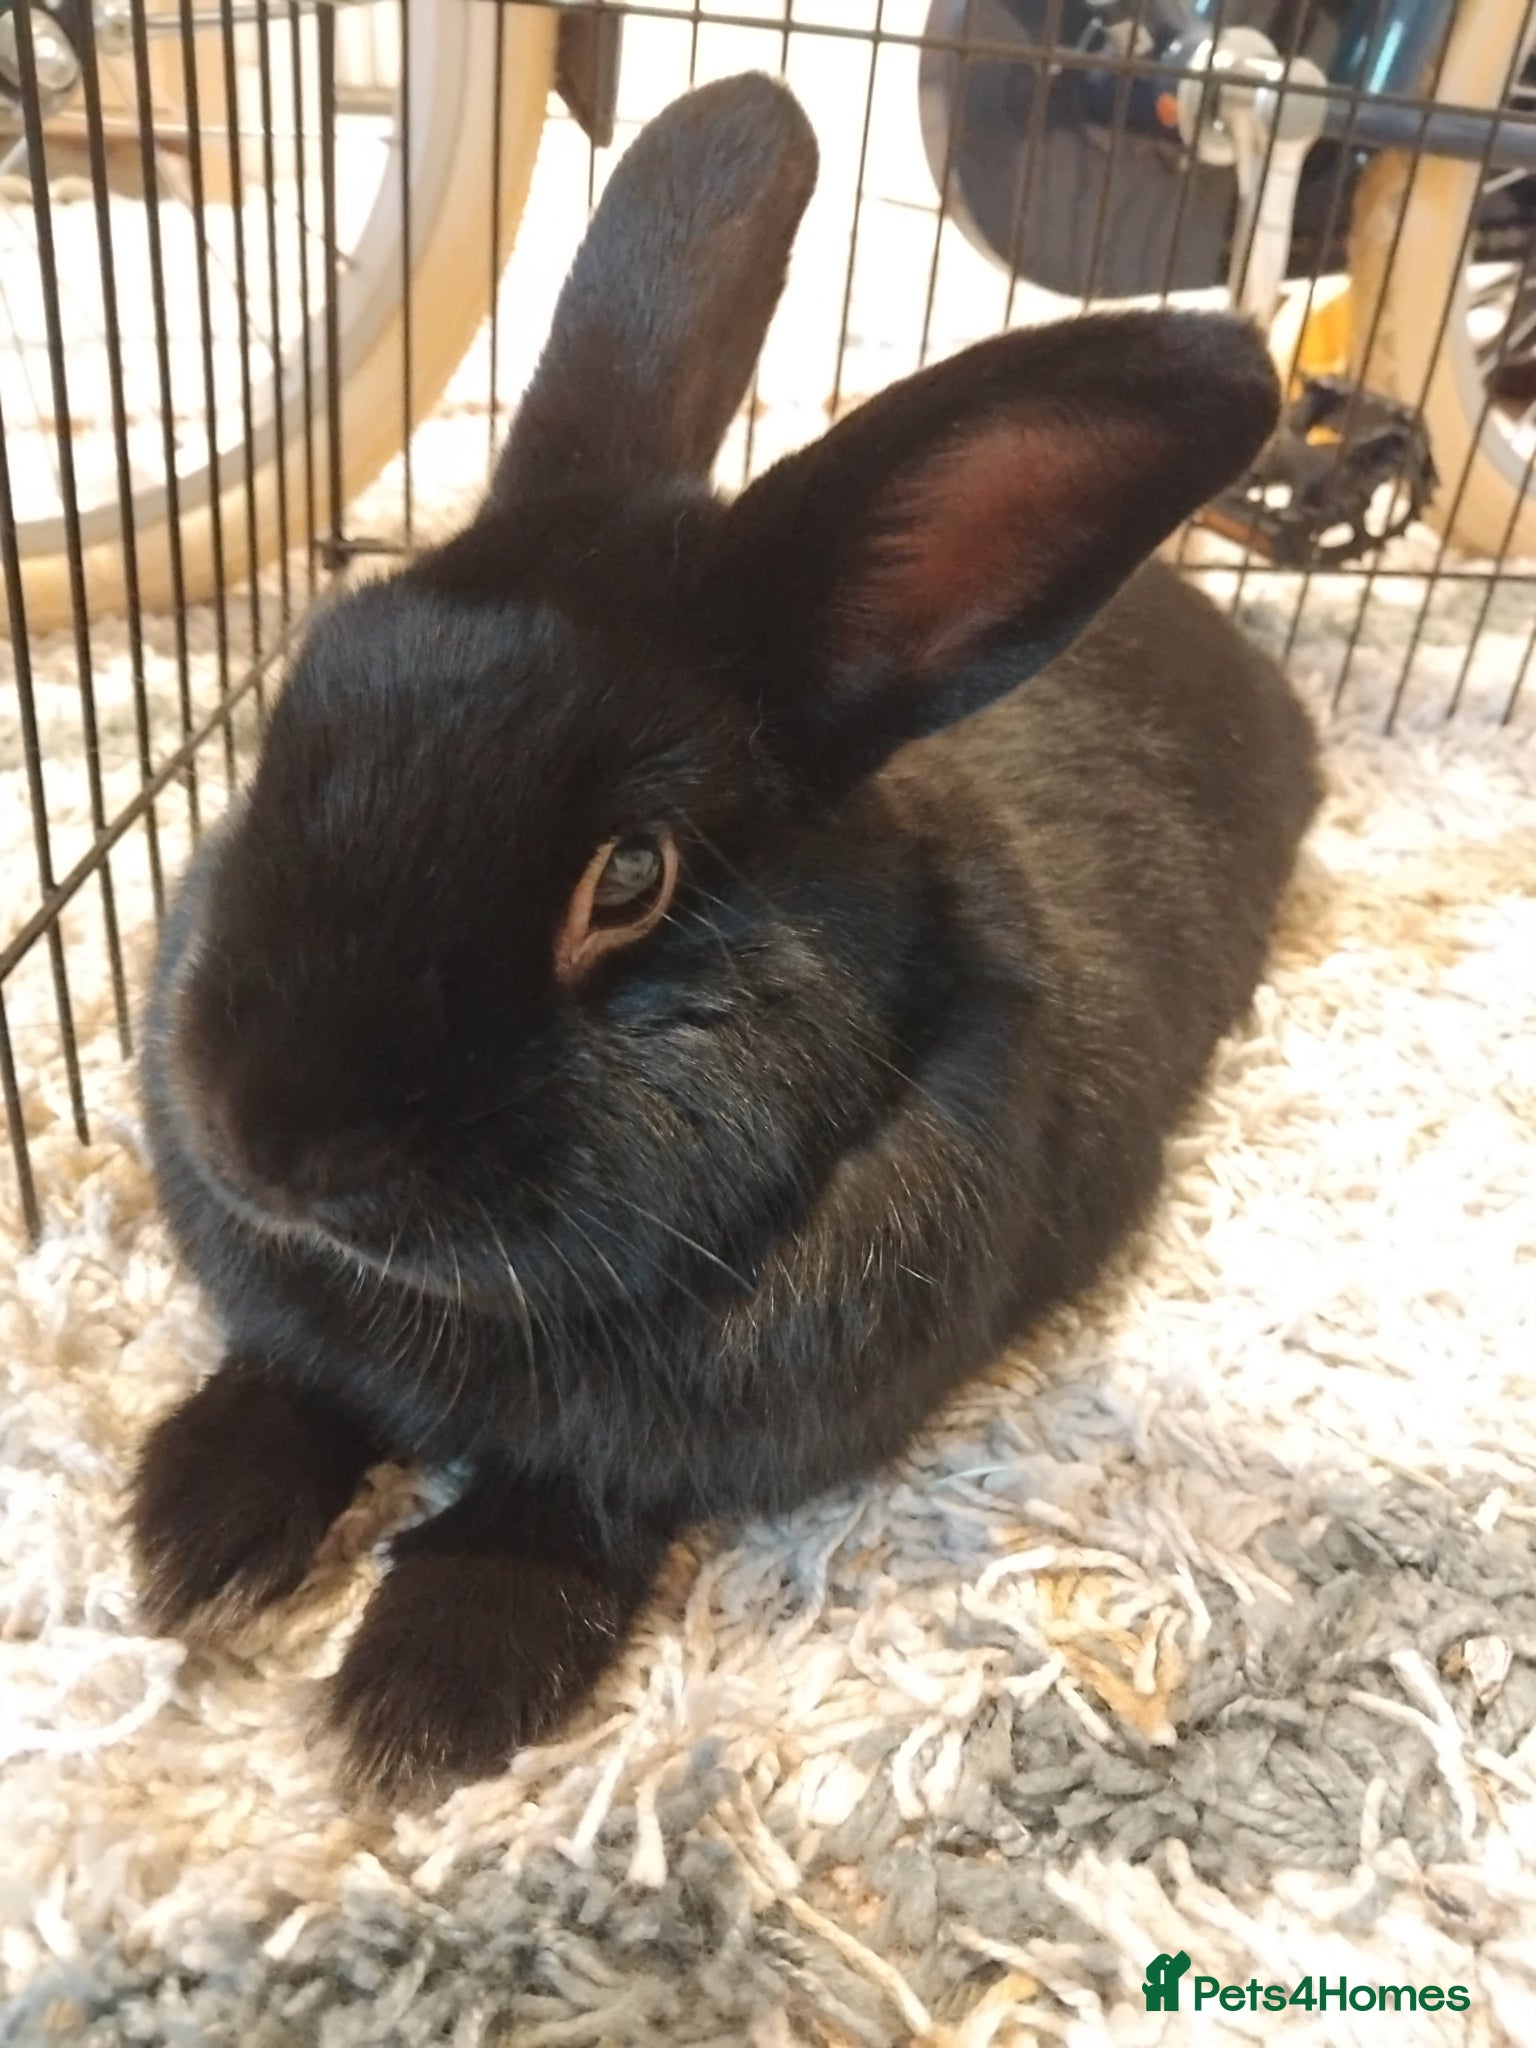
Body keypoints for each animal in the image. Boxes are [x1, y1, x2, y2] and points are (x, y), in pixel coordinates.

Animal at [131, 71, 1320, 1799]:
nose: (270, 1143)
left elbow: (558, 1506)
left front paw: (426, 1692)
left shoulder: (676, 1445)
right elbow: (289, 1380)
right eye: (298, 709)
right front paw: (192, 1530)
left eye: (629, 878)